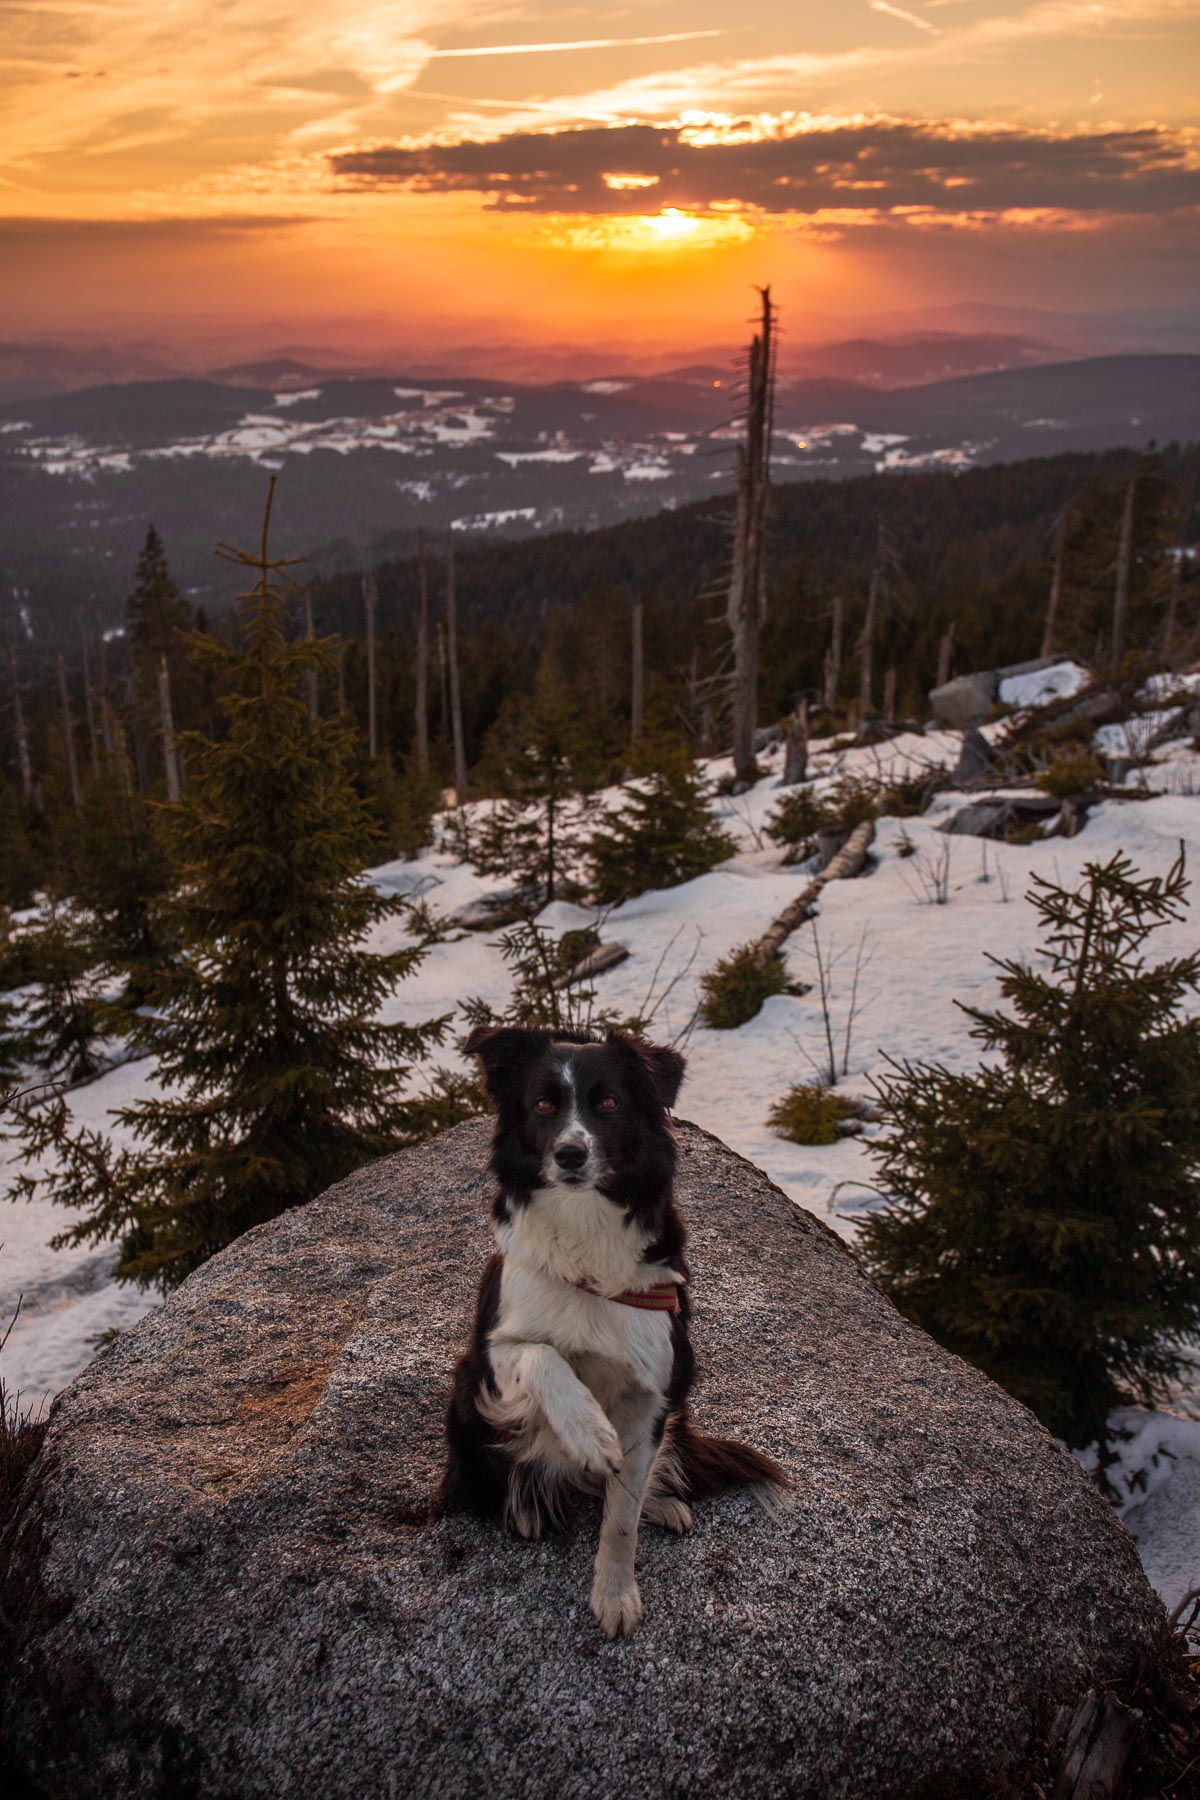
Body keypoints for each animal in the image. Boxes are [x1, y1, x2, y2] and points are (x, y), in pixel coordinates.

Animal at [440, 1029, 788, 1634]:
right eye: (542, 1105)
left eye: (607, 1103)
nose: (569, 1153)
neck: (585, 1227)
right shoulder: (493, 1352)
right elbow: (545, 1357)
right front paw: (588, 1433)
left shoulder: (654, 1389)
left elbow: (621, 1514)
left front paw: (615, 1592)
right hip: (466, 1400)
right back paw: (525, 1508)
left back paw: (661, 1501)